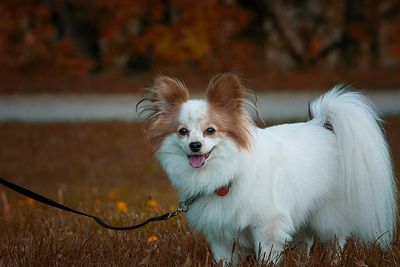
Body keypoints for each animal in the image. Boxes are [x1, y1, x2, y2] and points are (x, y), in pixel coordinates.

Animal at [138, 74, 396, 266]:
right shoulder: (220, 234)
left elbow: (267, 256)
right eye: (183, 132)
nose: (195, 145)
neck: (225, 172)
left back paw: (333, 261)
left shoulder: (267, 226)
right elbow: (224, 259)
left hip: (328, 214)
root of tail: (321, 125)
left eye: (210, 131)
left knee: (335, 241)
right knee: (306, 240)